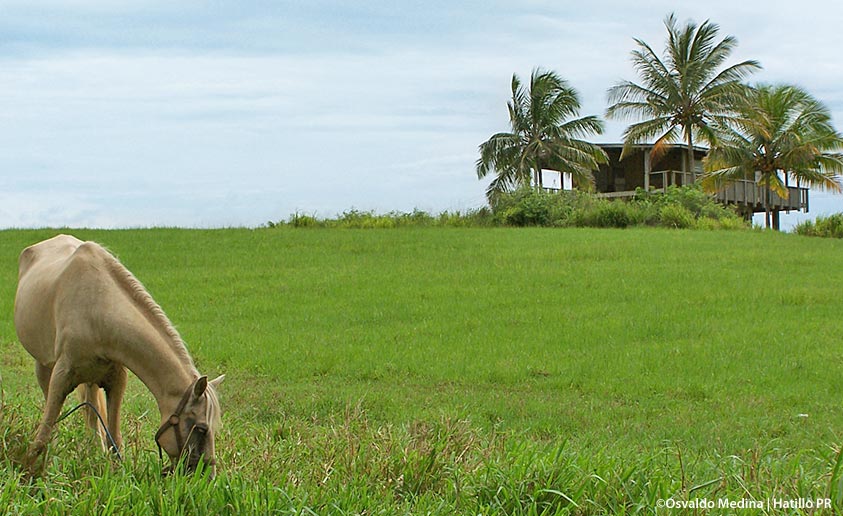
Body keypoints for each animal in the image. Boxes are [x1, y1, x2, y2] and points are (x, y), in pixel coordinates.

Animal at [14, 235, 224, 476]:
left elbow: (114, 439)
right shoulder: (61, 375)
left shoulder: (115, 380)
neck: (97, 312)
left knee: (93, 419)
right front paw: (28, 469)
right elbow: (43, 434)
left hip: (90, 380)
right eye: (201, 428)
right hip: (43, 366)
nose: (208, 477)